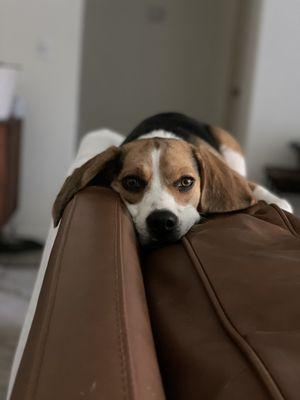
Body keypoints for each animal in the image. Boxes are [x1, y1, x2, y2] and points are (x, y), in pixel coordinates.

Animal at [52, 111, 292, 245]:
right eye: (132, 182)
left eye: (186, 182)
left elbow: (256, 189)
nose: (161, 222)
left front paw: (280, 204)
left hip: (229, 147)